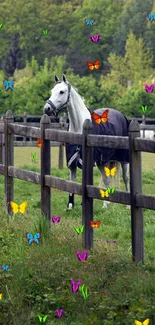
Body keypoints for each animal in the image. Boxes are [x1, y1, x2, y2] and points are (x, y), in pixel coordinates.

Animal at [42, 74, 130, 208]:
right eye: (52, 91)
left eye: (62, 91)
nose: (47, 109)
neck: (79, 127)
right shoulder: (72, 162)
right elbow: (72, 183)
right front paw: (70, 205)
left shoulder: (86, 162)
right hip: (102, 161)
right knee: (106, 179)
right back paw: (106, 204)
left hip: (123, 159)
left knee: (126, 178)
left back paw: (128, 205)